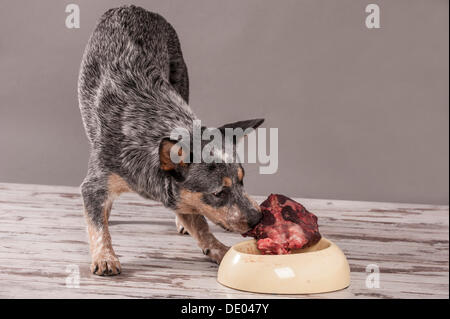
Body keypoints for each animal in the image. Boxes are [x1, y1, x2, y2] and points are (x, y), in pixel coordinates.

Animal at [78, 6, 264, 278]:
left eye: (242, 182)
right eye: (219, 193)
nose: (258, 218)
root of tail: (132, 7)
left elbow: (199, 222)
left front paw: (218, 249)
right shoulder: (97, 179)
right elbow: (97, 223)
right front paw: (105, 257)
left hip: (181, 75)